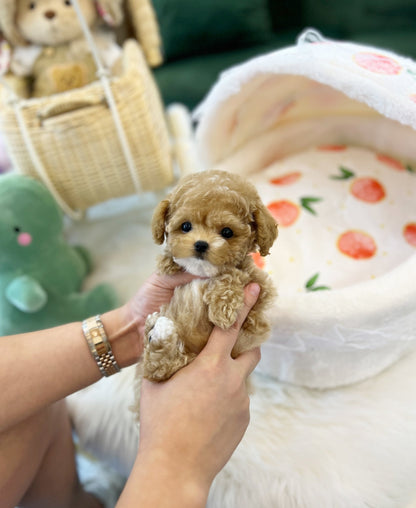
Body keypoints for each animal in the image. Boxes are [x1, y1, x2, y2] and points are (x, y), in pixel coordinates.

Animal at [141, 171, 278, 380]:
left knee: (159, 365)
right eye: (186, 226)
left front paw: (222, 309)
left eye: (227, 232)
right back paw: (156, 327)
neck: (203, 273)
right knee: (156, 367)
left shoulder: (260, 289)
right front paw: (168, 262)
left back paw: (158, 329)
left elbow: (234, 274)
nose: (200, 244)